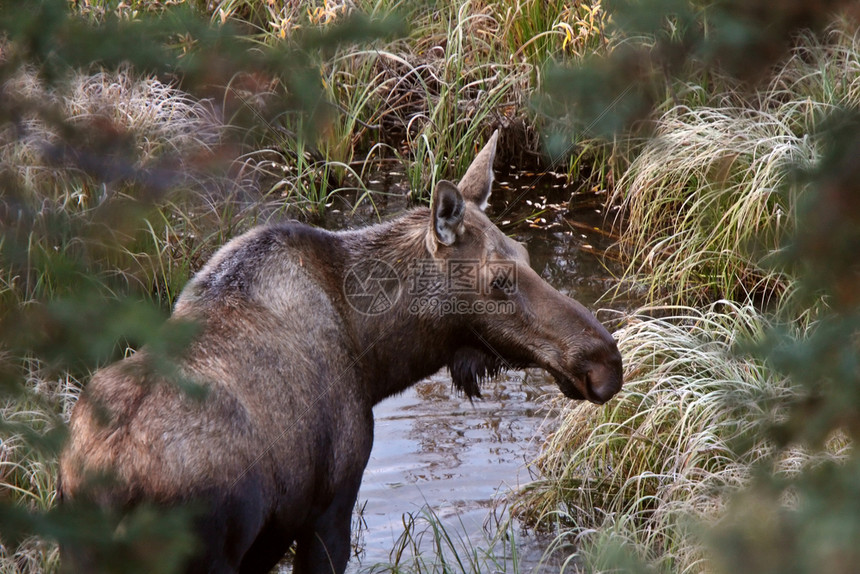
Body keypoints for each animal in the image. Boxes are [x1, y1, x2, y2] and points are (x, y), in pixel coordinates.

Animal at [62, 130, 624, 574]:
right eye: (500, 280)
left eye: (527, 255)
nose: (605, 362)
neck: (376, 358)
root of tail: (107, 485)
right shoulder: (329, 506)